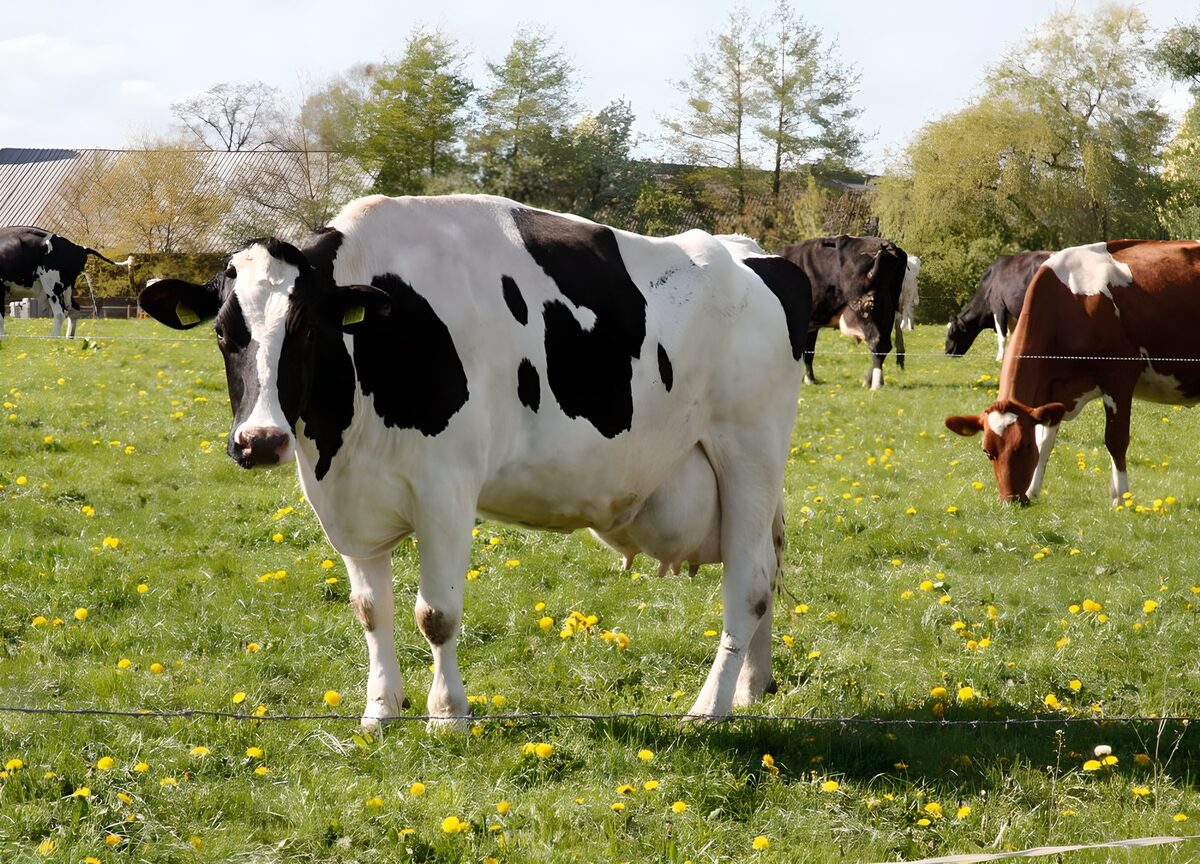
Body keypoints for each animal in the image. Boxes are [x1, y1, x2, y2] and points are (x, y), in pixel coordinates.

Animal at [137, 194, 811, 730]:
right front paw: (380, 712)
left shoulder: (446, 487)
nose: (260, 441)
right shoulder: (350, 503)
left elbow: (435, 613)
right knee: (765, 572)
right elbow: (370, 610)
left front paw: (447, 716)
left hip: (750, 452)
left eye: (306, 330)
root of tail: (752, 253)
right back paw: (753, 688)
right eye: (223, 334)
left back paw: (709, 709)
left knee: (747, 585)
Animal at [778, 235, 909, 390]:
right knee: (884, 345)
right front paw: (810, 379)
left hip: (865, 307)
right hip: (887, 309)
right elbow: (808, 352)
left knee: (877, 342)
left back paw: (875, 384)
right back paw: (870, 380)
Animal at [945, 240, 1200, 505]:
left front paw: (1121, 498)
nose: (1010, 500)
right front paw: (1033, 491)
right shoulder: (1054, 390)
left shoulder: (1118, 378)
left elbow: (1116, 440)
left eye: (1025, 446)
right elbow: (1046, 441)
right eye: (987, 451)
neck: (1069, 305)